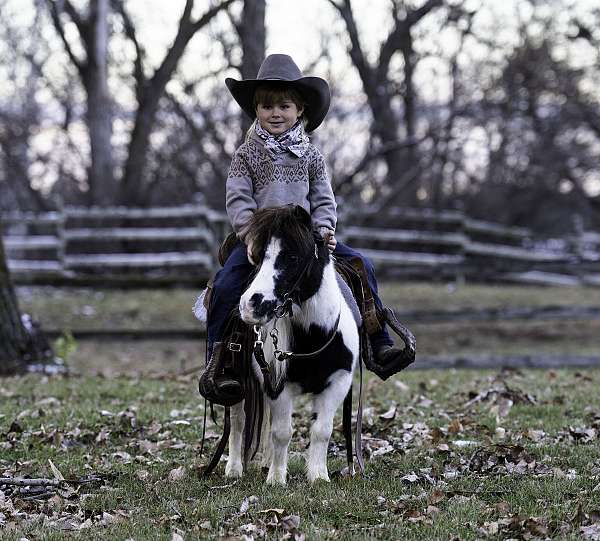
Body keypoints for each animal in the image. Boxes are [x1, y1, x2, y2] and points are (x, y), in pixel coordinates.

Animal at [225, 205, 360, 484]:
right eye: (259, 256)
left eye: (293, 257)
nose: (250, 305)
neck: (315, 338)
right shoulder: (278, 387)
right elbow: (281, 432)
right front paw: (277, 479)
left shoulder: (338, 383)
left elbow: (322, 430)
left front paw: (318, 476)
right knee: (238, 420)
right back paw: (233, 469)